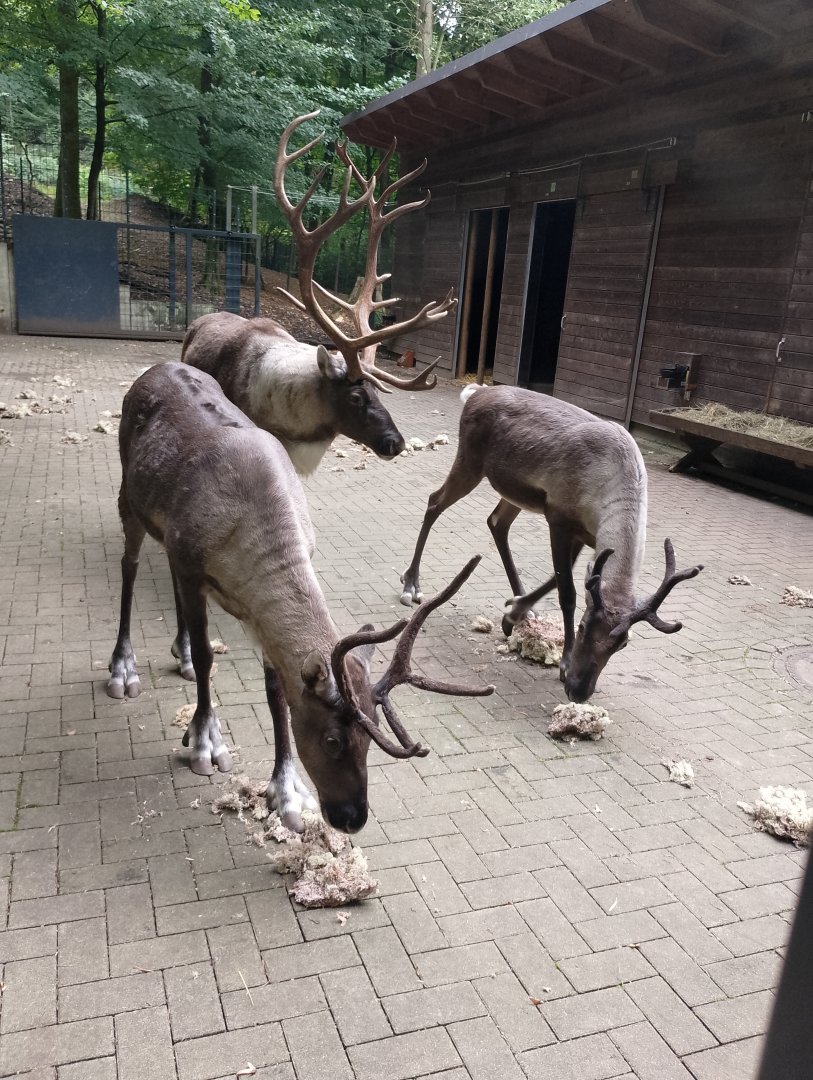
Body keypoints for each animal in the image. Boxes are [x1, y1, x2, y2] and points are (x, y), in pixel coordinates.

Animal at [106, 362, 493, 833]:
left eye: (370, 737)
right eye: (332, 740)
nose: (353, 818)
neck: (252, 531)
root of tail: (154, 368)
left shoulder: (244, 603)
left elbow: (276, 690)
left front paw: (287, 790)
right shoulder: (193, 564)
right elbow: (208, 657)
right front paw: (204, 741)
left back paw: (178, 653)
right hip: (130, 495)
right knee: (129, 566)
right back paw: (123, 667)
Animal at [399, 384, 703, 704]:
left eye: (622, 644)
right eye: (582, 627)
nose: (580, 691)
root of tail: (475, 393)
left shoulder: (586, 535)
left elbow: (559, 580)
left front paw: (515, 611)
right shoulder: (558, 520)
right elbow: (567, 592)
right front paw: (564, 661)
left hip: (512, 491)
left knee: (496, 523)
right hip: (470, 463)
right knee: (435, 502)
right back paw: (411, 584)